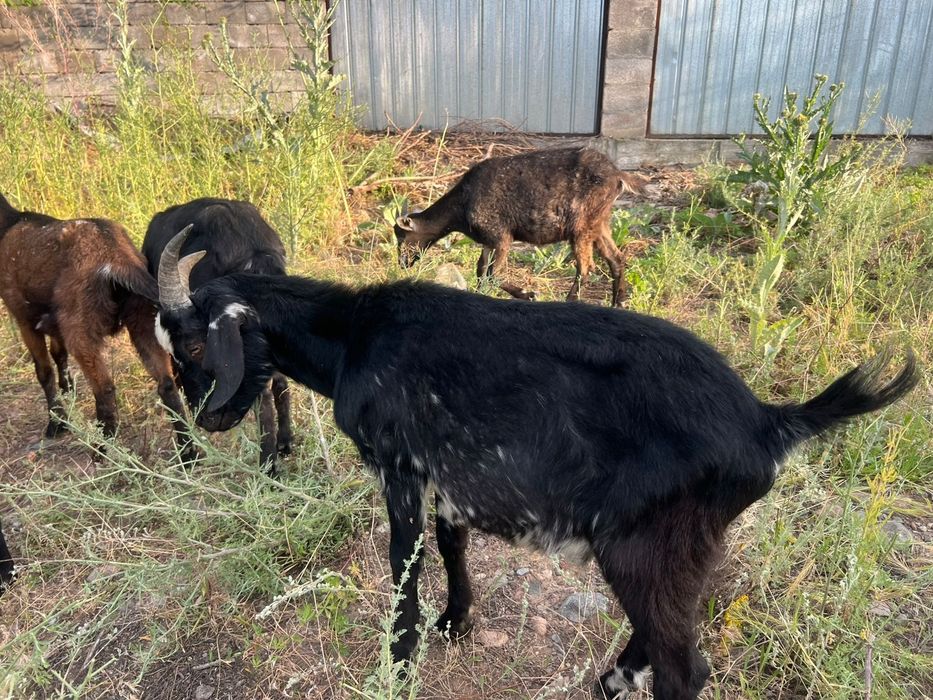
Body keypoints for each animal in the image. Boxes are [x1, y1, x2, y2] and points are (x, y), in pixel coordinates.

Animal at [0, 194, 193, 457]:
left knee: (105, 387)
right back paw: (188, 451)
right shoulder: (56, 324)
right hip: (141, 319)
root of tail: (118, 259)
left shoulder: (24, 319)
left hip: (81, 327)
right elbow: (59, 356)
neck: (8, 223)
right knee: (166, 384)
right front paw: (68, 395)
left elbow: (44, 372)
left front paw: (56, 423)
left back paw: (102, 447)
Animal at [154, 228, 918, 700]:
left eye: (193, 345)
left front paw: (399, 664)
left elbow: (404, 564)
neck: (354, 337)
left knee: (685, 668)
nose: (206, 420)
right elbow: (451, 543)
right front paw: (456, 622)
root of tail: (767, 421)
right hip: (684, 545)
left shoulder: (398, 465)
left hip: (643, 542)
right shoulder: (447, 471)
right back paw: (611, 682)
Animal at [394, 147, 644, 306]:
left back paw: (571, 301)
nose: (402, 263)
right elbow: (481, 270)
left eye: (401, 237)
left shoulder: (500, 236)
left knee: (586, 267)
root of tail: (618, 176)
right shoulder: (487, 241)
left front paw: (528, 294)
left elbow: (494, 274)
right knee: (616, 258)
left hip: (581, 224)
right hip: (598, 222)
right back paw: (618, 303)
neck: (461, 206)